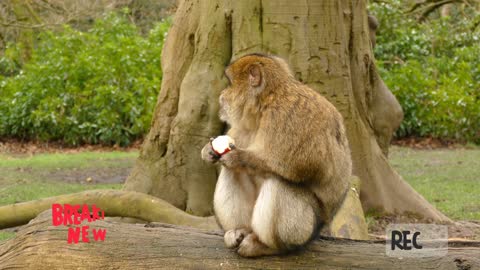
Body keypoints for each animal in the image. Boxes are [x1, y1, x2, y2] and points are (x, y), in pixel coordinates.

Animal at [200, 53, 352, 258]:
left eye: (230, 83)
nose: (222, 95)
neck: (266, 102)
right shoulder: (246, 124)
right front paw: (208, 151)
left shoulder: (288, 116)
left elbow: (298, 166)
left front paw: (237, 157)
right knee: (233, 172)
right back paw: (240, 230)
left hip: (305, 230)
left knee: (278, 183)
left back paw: (268, 246)